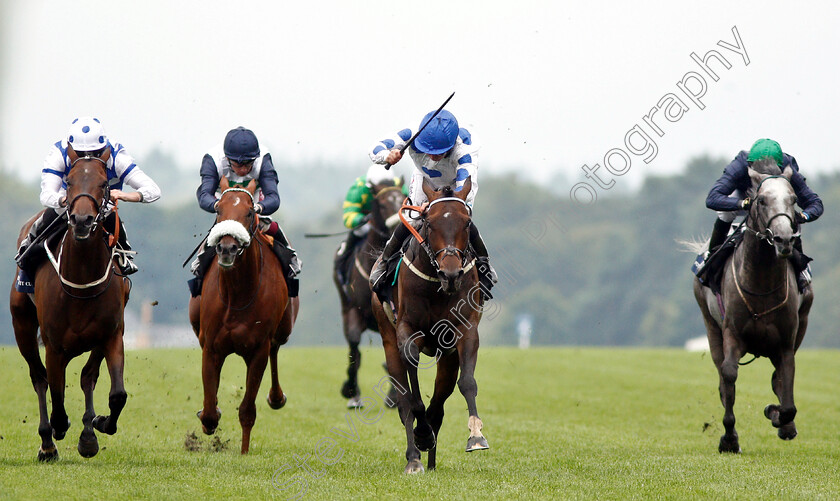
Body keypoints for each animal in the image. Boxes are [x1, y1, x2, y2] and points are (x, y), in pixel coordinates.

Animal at [9, 149, 131, 460]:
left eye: (104, 183)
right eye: (70, 182)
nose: (82, 220)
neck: (81, 279)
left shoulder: (112, 334)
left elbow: (116, 393)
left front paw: (98, 425)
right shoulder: (54, 346)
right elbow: (56, 393)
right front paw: (58, 429)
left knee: (87, 377)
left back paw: (87, 433)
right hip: (22, 326)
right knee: (39, 378)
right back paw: (47, 444)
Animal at [188, 180, 298, 454]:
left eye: (249, 212)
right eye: (219, 210)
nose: (227, 248)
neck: (237, 295)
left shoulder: (258, 349)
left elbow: (247, 410)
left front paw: (245, 451)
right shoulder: (211, 347)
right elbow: (209, 409)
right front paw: (209, 417)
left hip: (283, 329)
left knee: (276, 349)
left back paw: (276, 397)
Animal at [334, 178, 406, 408]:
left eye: (402, 199)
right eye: (382, 204)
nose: (396, 227)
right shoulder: (353, 313)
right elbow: (354, 351)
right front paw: (351, 391)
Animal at [370, 177, 488, 472]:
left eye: (467, 223)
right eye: (429, 222)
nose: (451, 274)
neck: (437, 286)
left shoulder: (465, 330)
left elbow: (467, 383)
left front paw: (476, 435)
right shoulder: (406, 332)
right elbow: (413, 400)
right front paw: (422, 436)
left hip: (446, 357)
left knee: (439, 402)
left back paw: (432, 459)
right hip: (388, 339)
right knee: (404, 402)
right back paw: (414, 457)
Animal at [696, 159, 812, 454]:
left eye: (794, 199)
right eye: (761, 200)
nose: (784, 239)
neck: (762, 283)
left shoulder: (786, 343)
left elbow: (787, 394)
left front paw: (778, 417)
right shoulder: (732, 333)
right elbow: (728, 376)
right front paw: (729, 438)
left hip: (803, 322)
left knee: (777, 380)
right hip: (710, 325)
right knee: (722, 376)